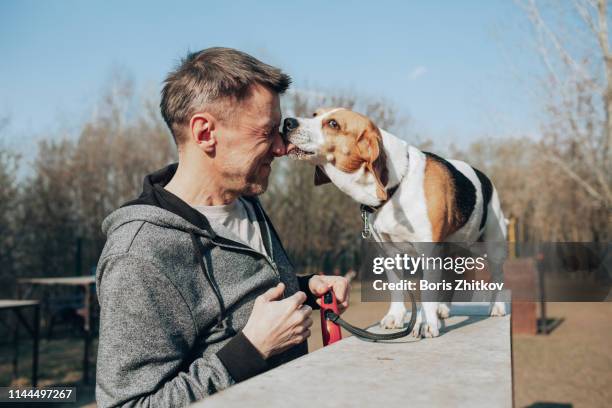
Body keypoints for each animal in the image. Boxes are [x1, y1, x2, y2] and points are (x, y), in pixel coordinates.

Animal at [282, 108, 506, 338]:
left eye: (333, 124)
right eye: (314, 114)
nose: (287, 123)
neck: (396, 186)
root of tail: (485, 177)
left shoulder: (428, 252)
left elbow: (427, 292)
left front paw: (427, 324)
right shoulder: (388, 252)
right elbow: (397, 287)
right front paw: (396, 317)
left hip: (494, 247)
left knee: (497, 276)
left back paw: (496, 307)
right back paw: (443, 309)